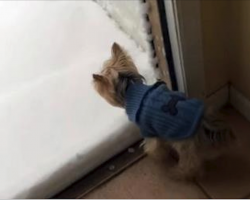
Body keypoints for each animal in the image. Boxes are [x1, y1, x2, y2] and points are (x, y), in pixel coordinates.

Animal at [93, 42, 235, 180]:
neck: (130, 88)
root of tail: (202, 122)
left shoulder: (147, 129)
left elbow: (153, 145)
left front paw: (153, 154)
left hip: (182, 141)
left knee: (190, 163)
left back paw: (178, 173)